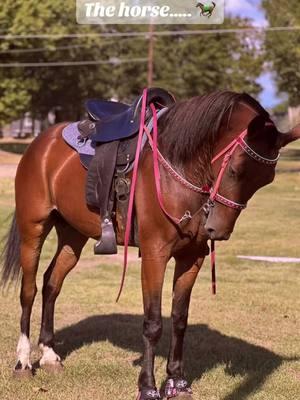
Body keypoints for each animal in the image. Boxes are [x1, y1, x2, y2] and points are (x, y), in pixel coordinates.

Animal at [0, 91, 300, 400]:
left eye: (266, 180)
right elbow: (153, 322)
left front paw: (176, 382)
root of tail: (41, 143)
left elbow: (179, 318)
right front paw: (148, 387)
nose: (218, 229)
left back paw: (49, 355)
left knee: (52, 284)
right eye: (236, 170)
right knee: (29, 290)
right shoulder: (155, 254)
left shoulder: (192, 257)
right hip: (33, 228)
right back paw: (23, 362)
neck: (180, 167)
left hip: (73, 234)